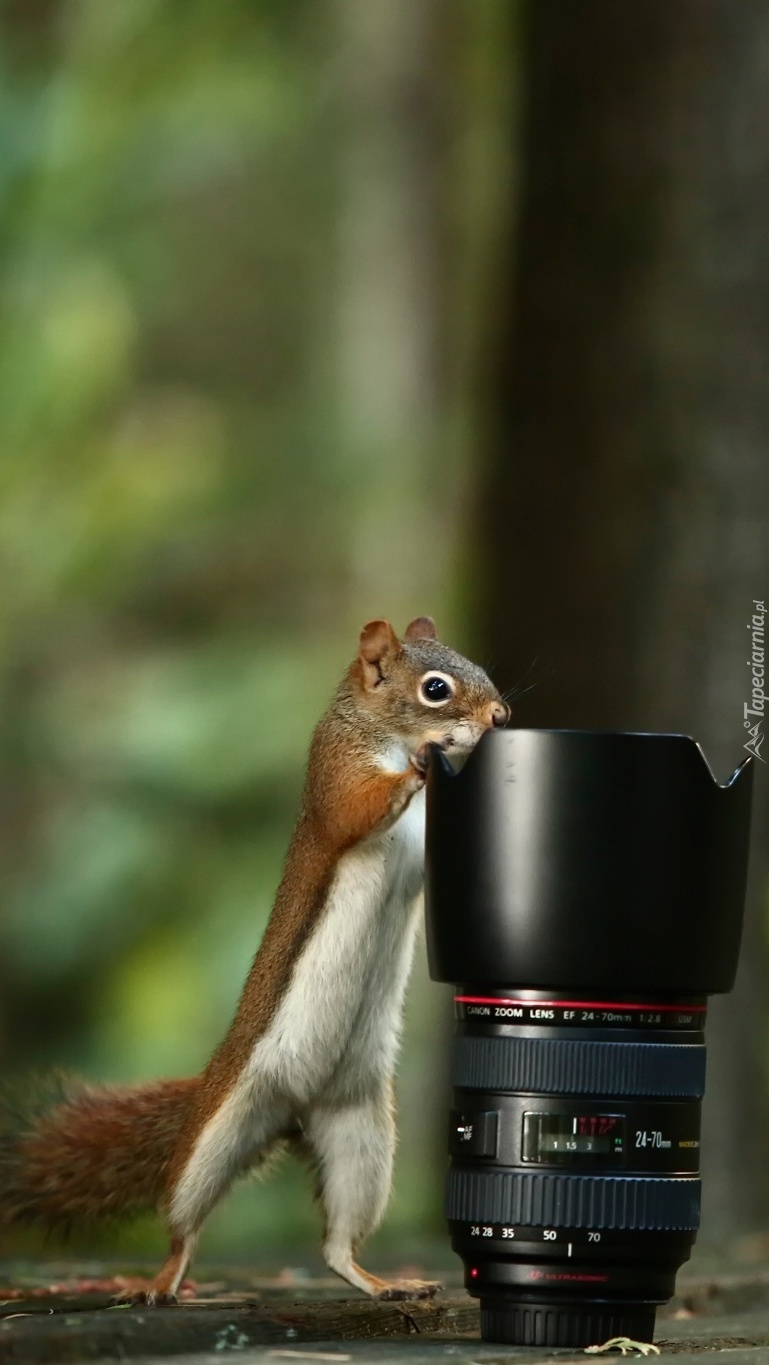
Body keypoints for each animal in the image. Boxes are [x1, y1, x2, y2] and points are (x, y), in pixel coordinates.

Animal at [0, 619, 508, 1299]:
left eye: (479, 666)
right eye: (435, 688)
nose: (501, 716)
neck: (378, 730)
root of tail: (292, 1115)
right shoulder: (335, 773)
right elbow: (354, 810)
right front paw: (423, 765)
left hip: (361, 1135)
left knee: (336, 1243)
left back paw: (382, 1283)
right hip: (219, 1132)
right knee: (183, 1222)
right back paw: (162, 1281)